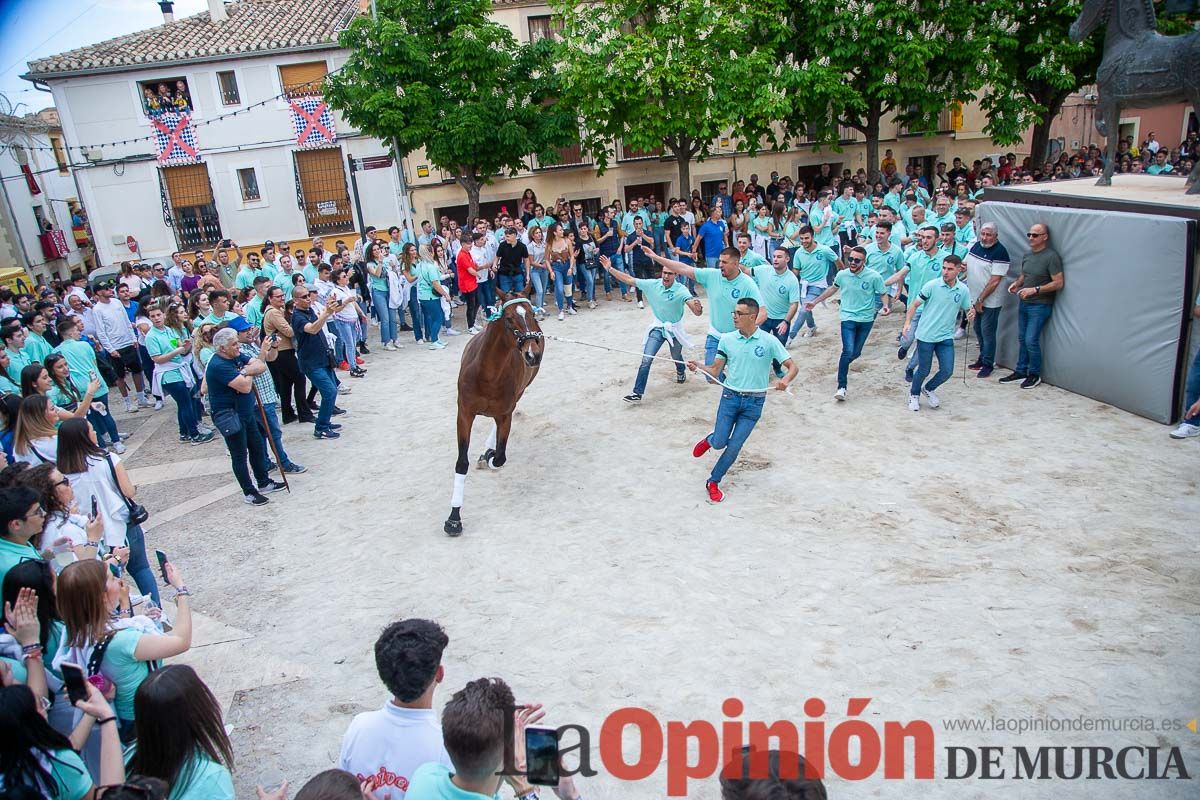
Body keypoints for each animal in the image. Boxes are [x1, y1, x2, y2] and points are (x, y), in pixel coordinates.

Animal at [446, 289, 544, 537]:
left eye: (531, 314)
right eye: (508, 319)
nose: (532, 354)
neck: (487, 374)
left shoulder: (505, 414)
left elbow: (500, 457)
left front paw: (489, 455)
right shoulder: (464, 414)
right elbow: (461, 463)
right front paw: (454, 518)